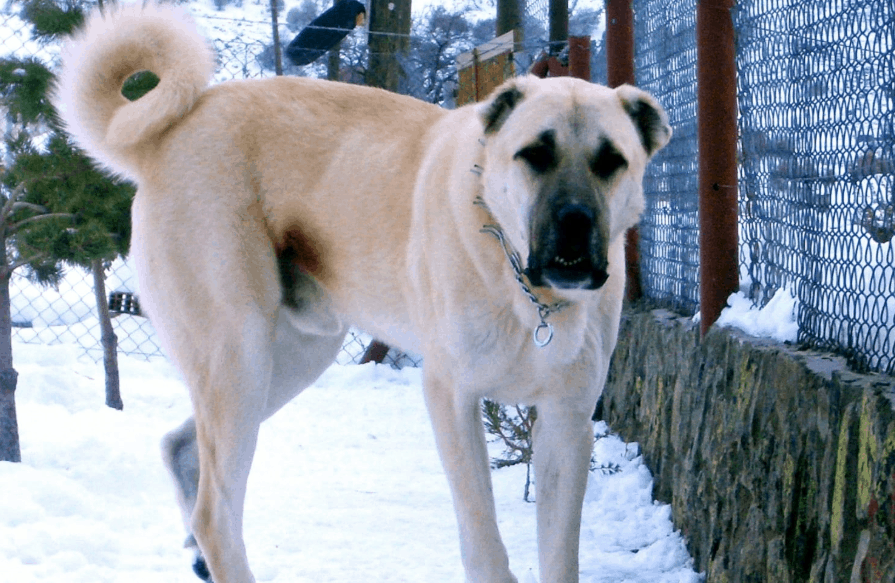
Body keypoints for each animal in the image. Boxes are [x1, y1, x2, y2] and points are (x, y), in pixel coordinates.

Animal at [54, 2, 672, 580]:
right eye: (534, 155)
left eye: (612, 161)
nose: (574, 223)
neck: (524, 286)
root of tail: (167, 134)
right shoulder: (452, 398)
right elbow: (484, 541)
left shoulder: (567, 420)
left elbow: (560, 554)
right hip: (237, 356)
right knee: (215, 513)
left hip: (293, 357)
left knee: (182, 450)